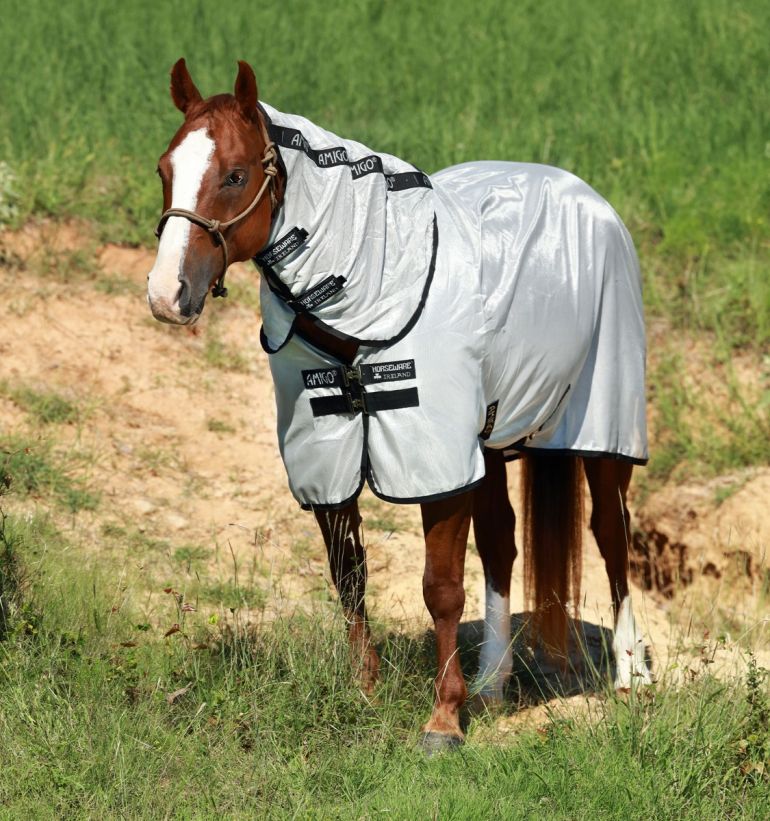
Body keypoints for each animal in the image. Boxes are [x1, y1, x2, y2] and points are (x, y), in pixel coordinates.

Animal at [146, 58, 652, 752]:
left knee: (611, 537)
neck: (370, 290)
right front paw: (367, 690)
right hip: (490, 443)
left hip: (604, 430)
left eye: (234, 175)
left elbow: (440, 588)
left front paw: (443, 720)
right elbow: (350, 577)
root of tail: (589, 198)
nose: (167, 295)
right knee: (503, 546)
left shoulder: (435, 461)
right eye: (165, 169)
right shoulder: (327, 455)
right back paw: (492, 684)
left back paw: (631, 676)